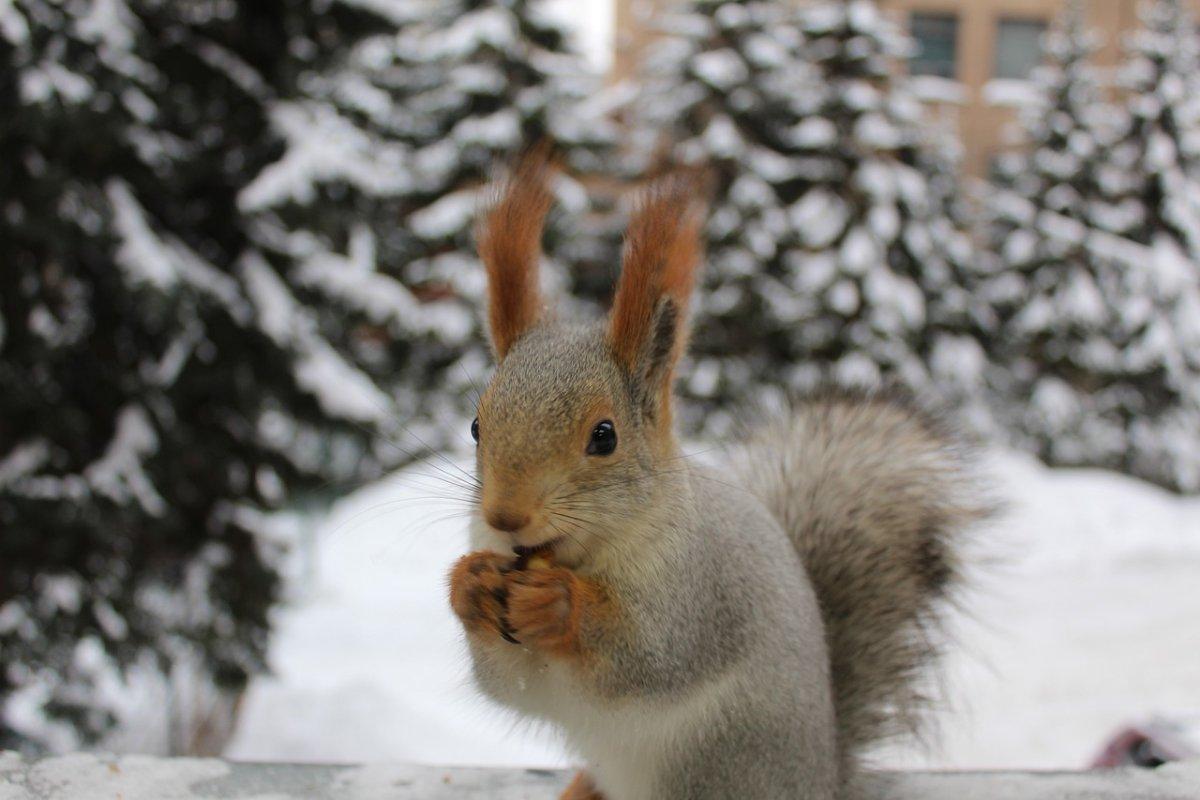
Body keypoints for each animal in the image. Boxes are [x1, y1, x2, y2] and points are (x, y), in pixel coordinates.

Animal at [446, 151, 988, 800]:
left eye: (604, 436)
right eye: (476, 425)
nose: (504, 515)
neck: (579, 554)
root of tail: (822, 779)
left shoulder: (699, 592)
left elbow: (650, 657)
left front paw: (558, 603)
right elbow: (503, 681)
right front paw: (470, 584)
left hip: (719, 766)